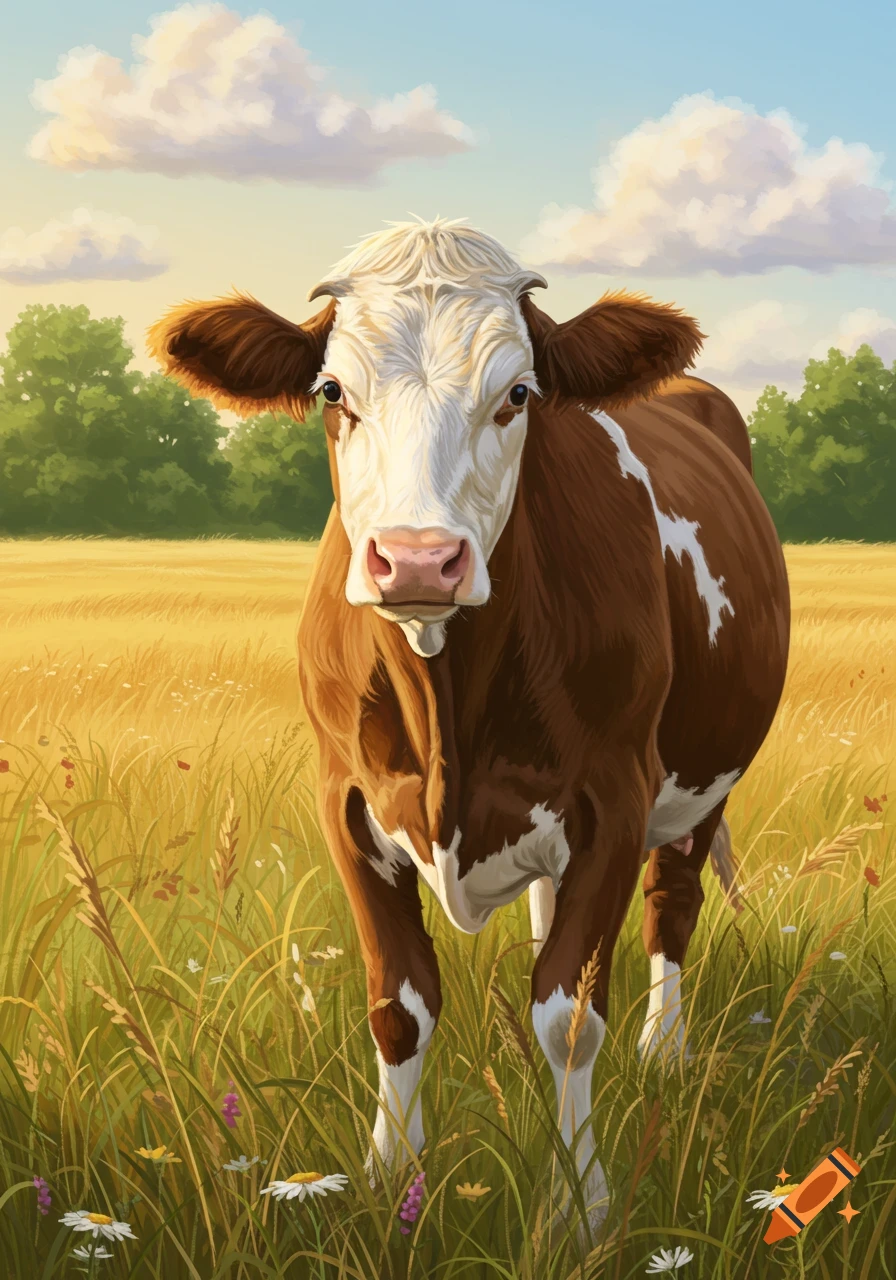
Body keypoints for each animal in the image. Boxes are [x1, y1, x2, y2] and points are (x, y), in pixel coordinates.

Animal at [149, 217, 790, 1228]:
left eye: (519, 393)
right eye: (332, 391)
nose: (417, 559)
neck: (447, 701)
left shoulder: (615, 797)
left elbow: (572, 1013)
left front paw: (577, 1204)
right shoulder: (347, 801)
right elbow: (399, 1005)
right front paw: (386, 1181)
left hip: (704, 782)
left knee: (671, 907)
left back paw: (666, 1051)